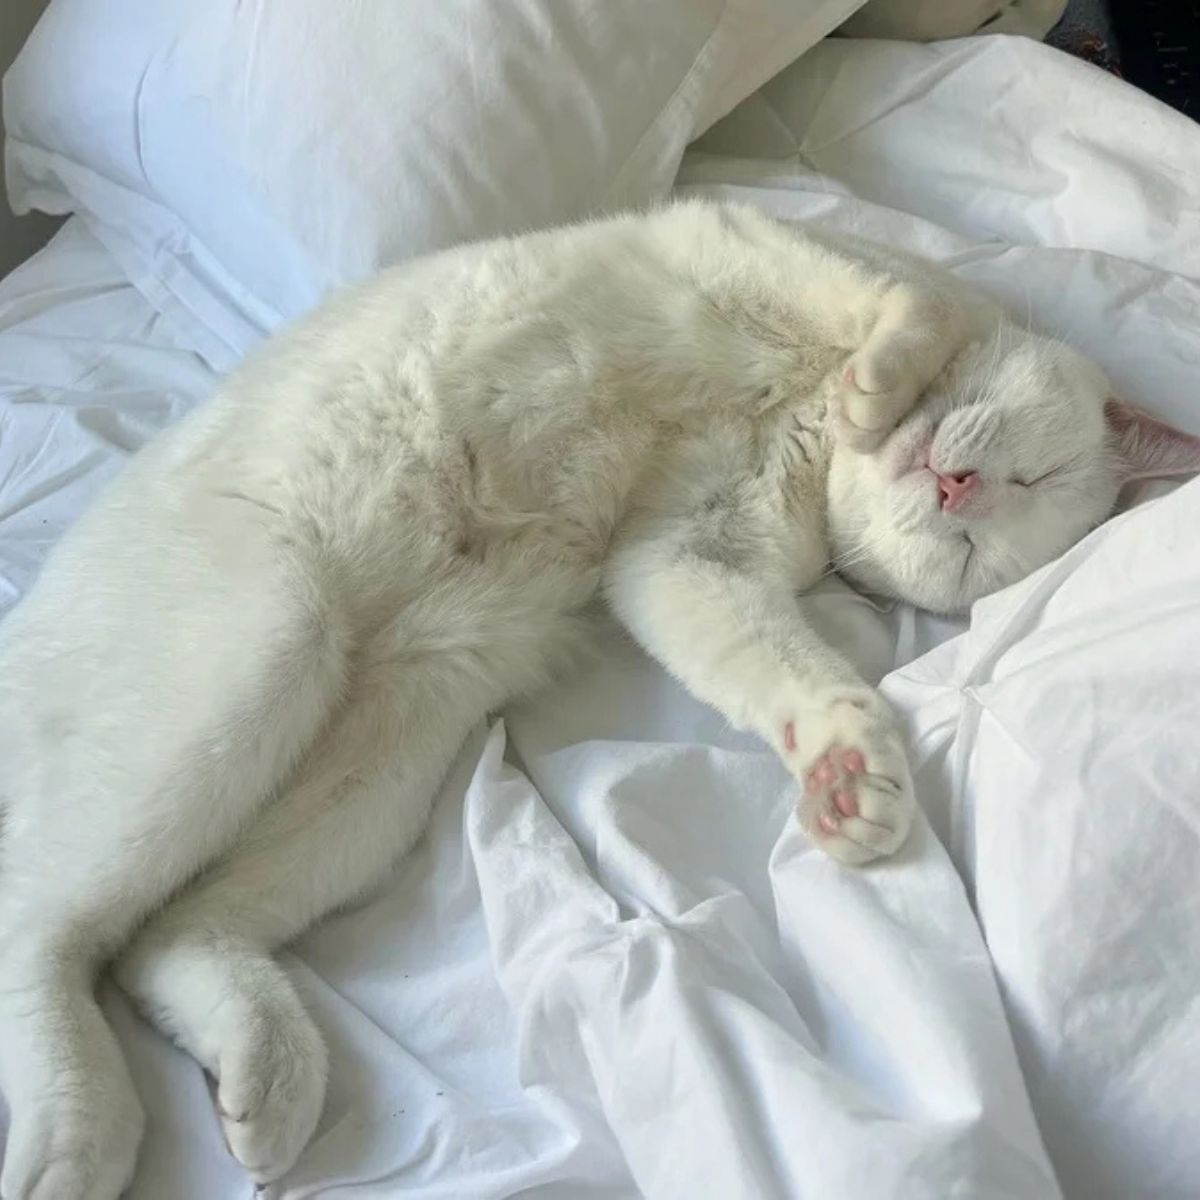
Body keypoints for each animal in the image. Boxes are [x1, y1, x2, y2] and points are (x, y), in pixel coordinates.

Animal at [2, 201, 1200, 1195]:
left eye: (973, 548)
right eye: (1027, 479)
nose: (954, 489)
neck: (808, 422)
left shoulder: (688, 557)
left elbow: (793, 672)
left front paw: (850, 775)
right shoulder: (752, 243)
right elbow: (918, 309)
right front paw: (882, 382)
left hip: (382, 757)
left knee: (161, 938)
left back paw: (259, 1073)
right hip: (266, 649)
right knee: (46, 923)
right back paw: (80, 1134)